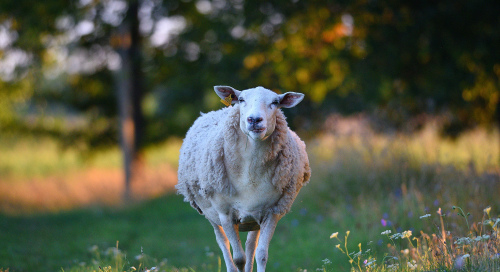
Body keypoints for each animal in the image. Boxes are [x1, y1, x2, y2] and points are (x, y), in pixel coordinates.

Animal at [175, 85, 308, 272]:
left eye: (275, 102)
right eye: (241, 99)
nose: (254, 119)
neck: (250, 173)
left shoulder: (272, 212)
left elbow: (261, 254)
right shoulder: (225, 214)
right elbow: (238, 258)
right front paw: (237, 263)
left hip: (254, 218)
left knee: (251, 246)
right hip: (211, 214)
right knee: (223, 243)